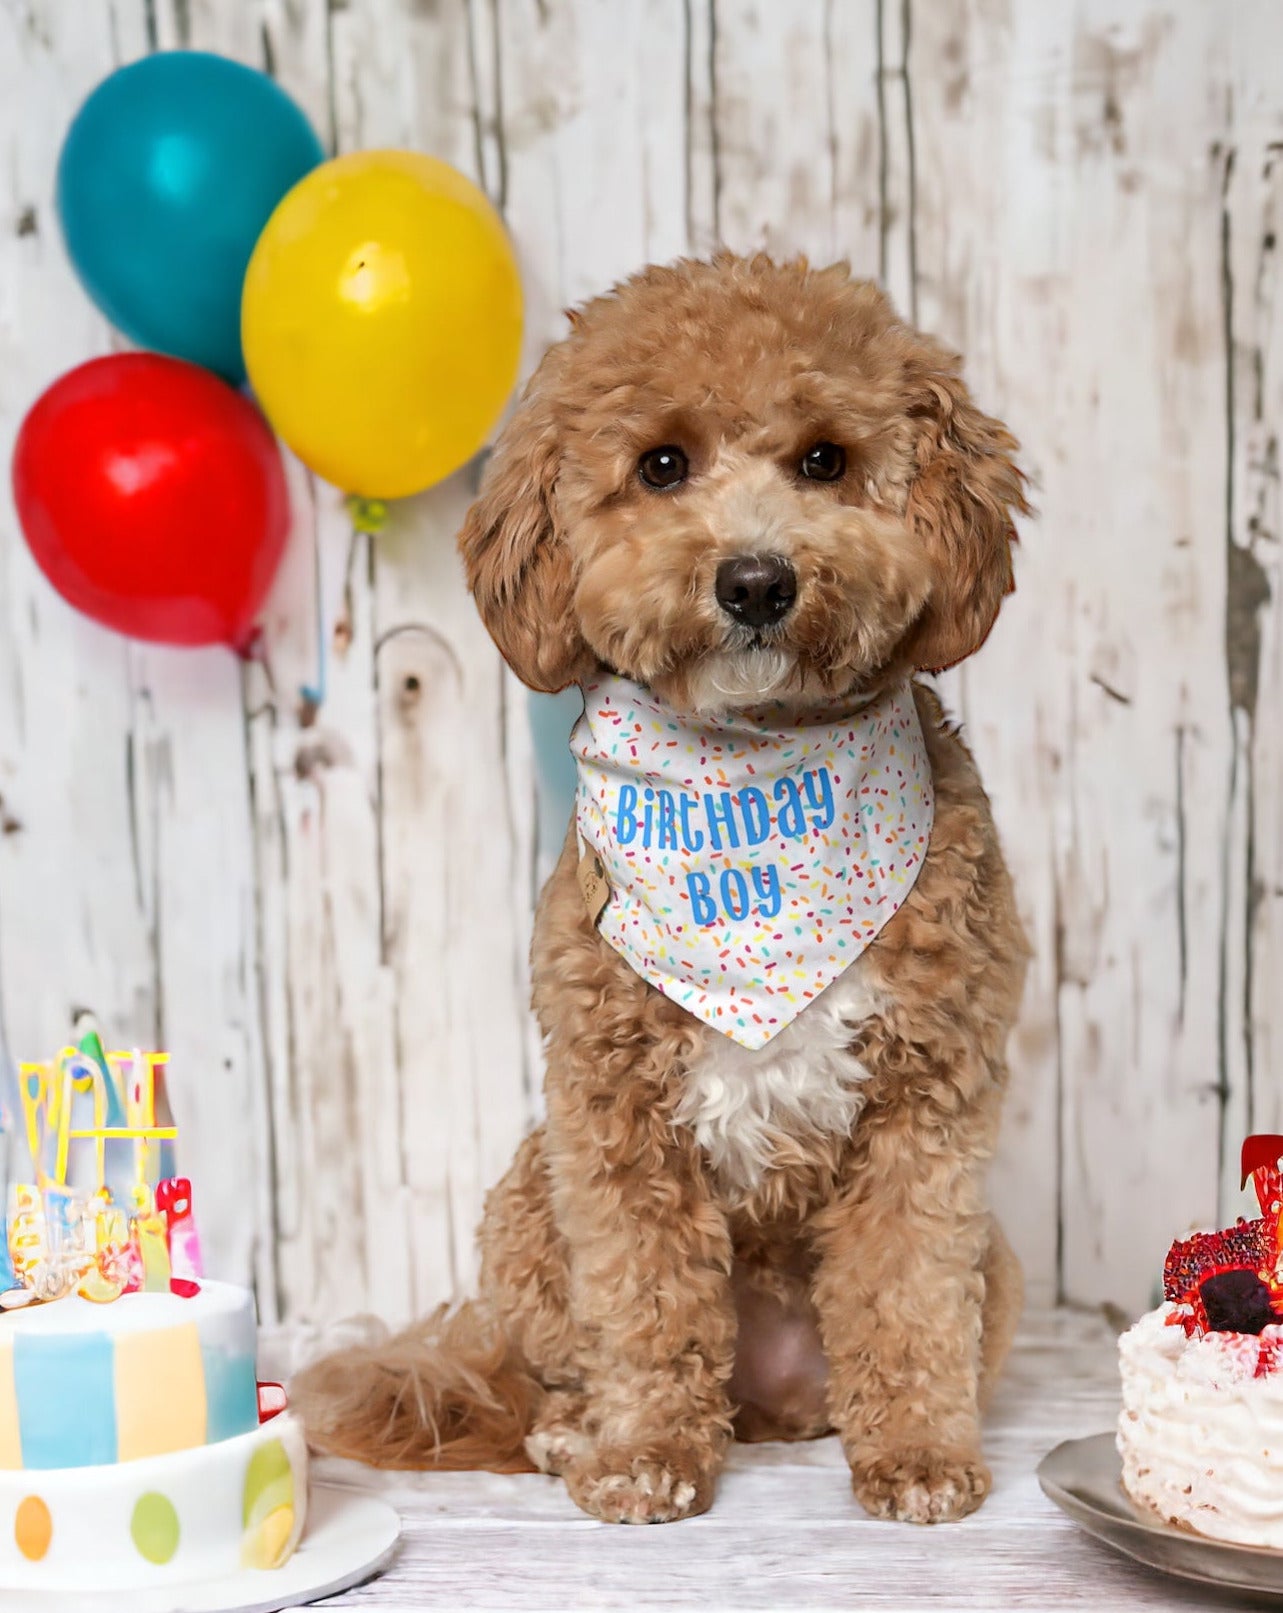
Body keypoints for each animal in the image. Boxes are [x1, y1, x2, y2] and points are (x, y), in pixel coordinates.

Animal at [295, 251, 1026, 1522]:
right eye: (661, 466)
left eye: (825, 459)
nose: (754, 581)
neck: (749, 774)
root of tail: (767, 1394)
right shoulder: (608, 1109)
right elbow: (643, 1297)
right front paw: (642, 1450)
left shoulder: (929, 1103)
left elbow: (906, 1287)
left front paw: (918, 1456)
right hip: (526, 1196)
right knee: (552, 1373)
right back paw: (572, 1429)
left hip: (993, 1262)